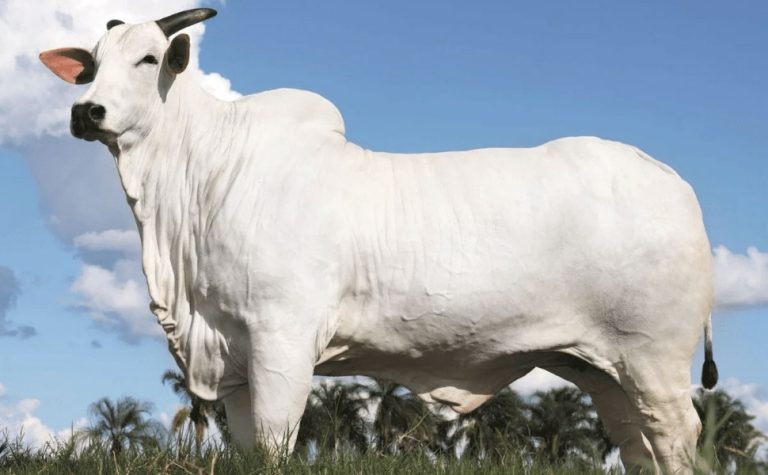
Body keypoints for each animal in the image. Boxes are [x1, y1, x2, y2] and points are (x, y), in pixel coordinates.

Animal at [40, 8, 718, 472]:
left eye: (148, 59)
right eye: (91, 64)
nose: (86, 112)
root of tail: (671, 180)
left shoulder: (282, 340)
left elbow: (277, 442)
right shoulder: (231, 355)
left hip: (655, 358)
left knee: (678, 435)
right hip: (604, 369)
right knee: (636, 442)